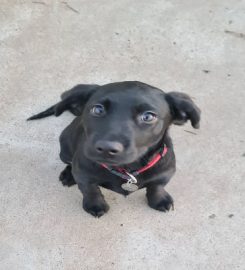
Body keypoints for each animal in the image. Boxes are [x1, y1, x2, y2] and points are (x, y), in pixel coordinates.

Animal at [28, 81, 201, 217]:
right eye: (97, 109)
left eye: (148, 116)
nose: (106, 148)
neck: (128, 170)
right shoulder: (84, 175)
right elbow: (91, 190)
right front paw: (94, 205)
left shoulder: (165, 174)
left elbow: (156, 187)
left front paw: (159, 200)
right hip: (65, 148)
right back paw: (68, 175)